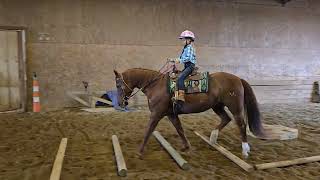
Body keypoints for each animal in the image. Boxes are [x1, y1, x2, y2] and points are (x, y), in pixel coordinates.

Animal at [113, 67, 264, 158]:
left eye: (118, 85)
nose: (120, 103)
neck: (156, 85)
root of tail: (238, 79)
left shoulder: (156, 114)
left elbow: (148, 130)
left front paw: (139, 151)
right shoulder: (171, 114)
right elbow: (179, 129)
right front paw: (186, 147)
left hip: (235, 107)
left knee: (241, 125)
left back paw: (245, 150)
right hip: (217, 106)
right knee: (226, 119)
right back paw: (213, 137)